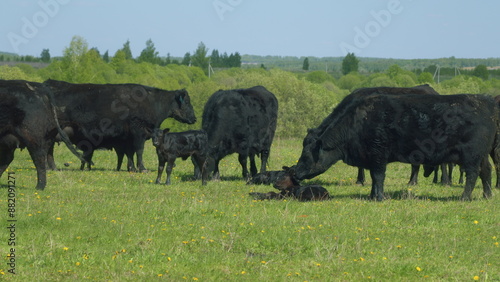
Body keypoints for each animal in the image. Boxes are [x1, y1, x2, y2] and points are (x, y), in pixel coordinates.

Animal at [43, 79, 195, 172]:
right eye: (187, 102)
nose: (194, 118)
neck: (153, 103)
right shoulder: (139, 131)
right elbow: (139, 150)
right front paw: (142, 168)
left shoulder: (128, 137)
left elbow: (130, 152)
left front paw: (131, 168)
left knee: (49, 150)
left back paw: (52, 167)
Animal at [294, 92, 498, 200]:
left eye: (306, 153)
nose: (295, 171)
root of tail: (485, 102)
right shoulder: (371, 158)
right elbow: (374, 178)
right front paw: (372, 195)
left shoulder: (378, 155)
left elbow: (378, 176)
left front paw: (379, 197)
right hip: (481, 155)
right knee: (486, 171)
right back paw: (487, 195)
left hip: (471, 156)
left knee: (472, 175)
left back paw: (464, 197)